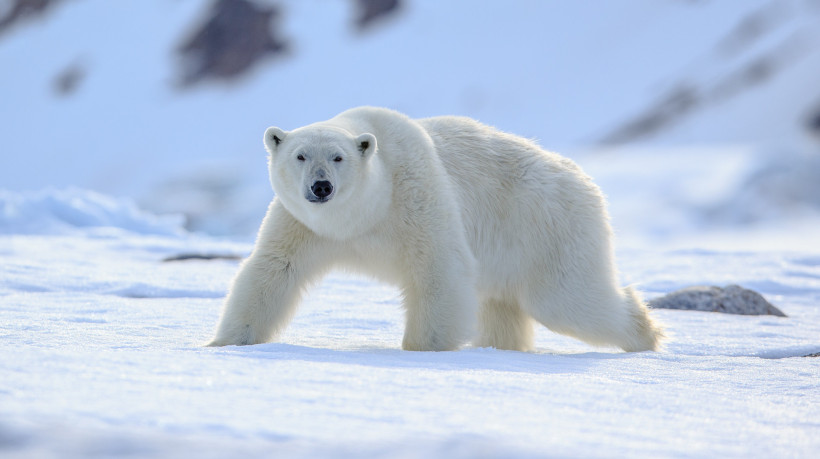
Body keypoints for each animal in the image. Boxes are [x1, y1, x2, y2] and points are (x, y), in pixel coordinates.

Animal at [208, 107, 664, 352]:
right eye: (300, 155)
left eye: (338, 157)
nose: (321, 187)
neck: (363, 215)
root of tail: (583, 179)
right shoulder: (303, 224)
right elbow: (273, 270)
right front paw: (224, 343)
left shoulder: (416, 195)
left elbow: (438, 268)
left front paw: (422, 350)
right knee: (502, 306)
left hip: (546, 227)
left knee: (569, 299)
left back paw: (647, 334)